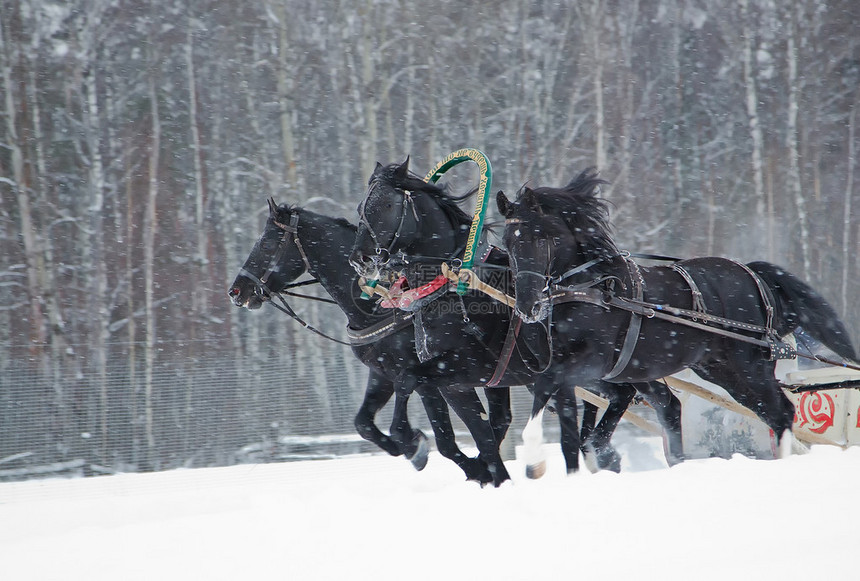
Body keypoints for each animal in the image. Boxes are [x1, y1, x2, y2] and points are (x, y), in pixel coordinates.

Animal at [350, 160, 684, 472]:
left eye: (386, 205)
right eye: (361, 207)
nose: (359, 259)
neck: (455, 287)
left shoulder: (467, 370)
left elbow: (414, 384)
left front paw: (411, 441)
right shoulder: (452, 382)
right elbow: (455, 427)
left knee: (648, 399)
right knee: (657, 401)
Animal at [494, 165, 856, 450]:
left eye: (540, 239)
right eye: (508, 243)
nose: (527, 306)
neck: (594, 286)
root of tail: (753, 275)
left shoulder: (589, 362)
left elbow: (548, 386)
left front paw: (534, 457)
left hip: (749, 367)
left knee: (781, 412)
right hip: (722, 370)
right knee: (773, 413)